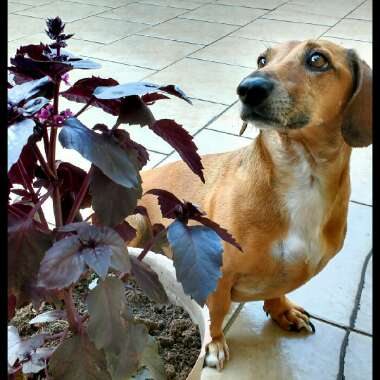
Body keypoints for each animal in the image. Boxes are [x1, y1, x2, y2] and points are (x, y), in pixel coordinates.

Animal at [129, 40, 372, 370]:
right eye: (262, 59)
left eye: (317, 59)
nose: (247, 88)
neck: (300, 174)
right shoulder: (219, 275)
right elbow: (216, 313)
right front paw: (215, 344)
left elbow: (279, 288)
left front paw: (282, 309)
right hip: (135, 225)